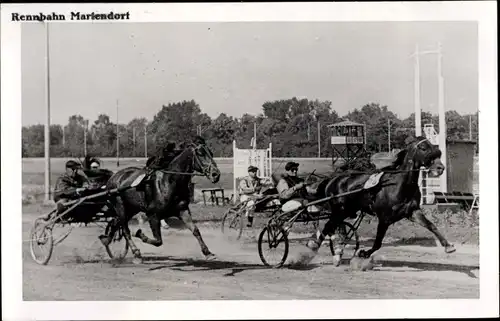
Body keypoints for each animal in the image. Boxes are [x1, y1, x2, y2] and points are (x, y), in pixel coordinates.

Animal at [310, 135, 456, 262]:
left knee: (335, 227)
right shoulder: (384, 218)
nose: (440, 168)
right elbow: (378, 242)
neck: (398, 185)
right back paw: (316, 246)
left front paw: (448, 246)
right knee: (328, 226)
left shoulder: (413, 211)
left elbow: (431, 225)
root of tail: (333, 179)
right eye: (424, 148)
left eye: (436, 149)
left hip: (347, 211)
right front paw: (364, 253)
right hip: (339, 210)